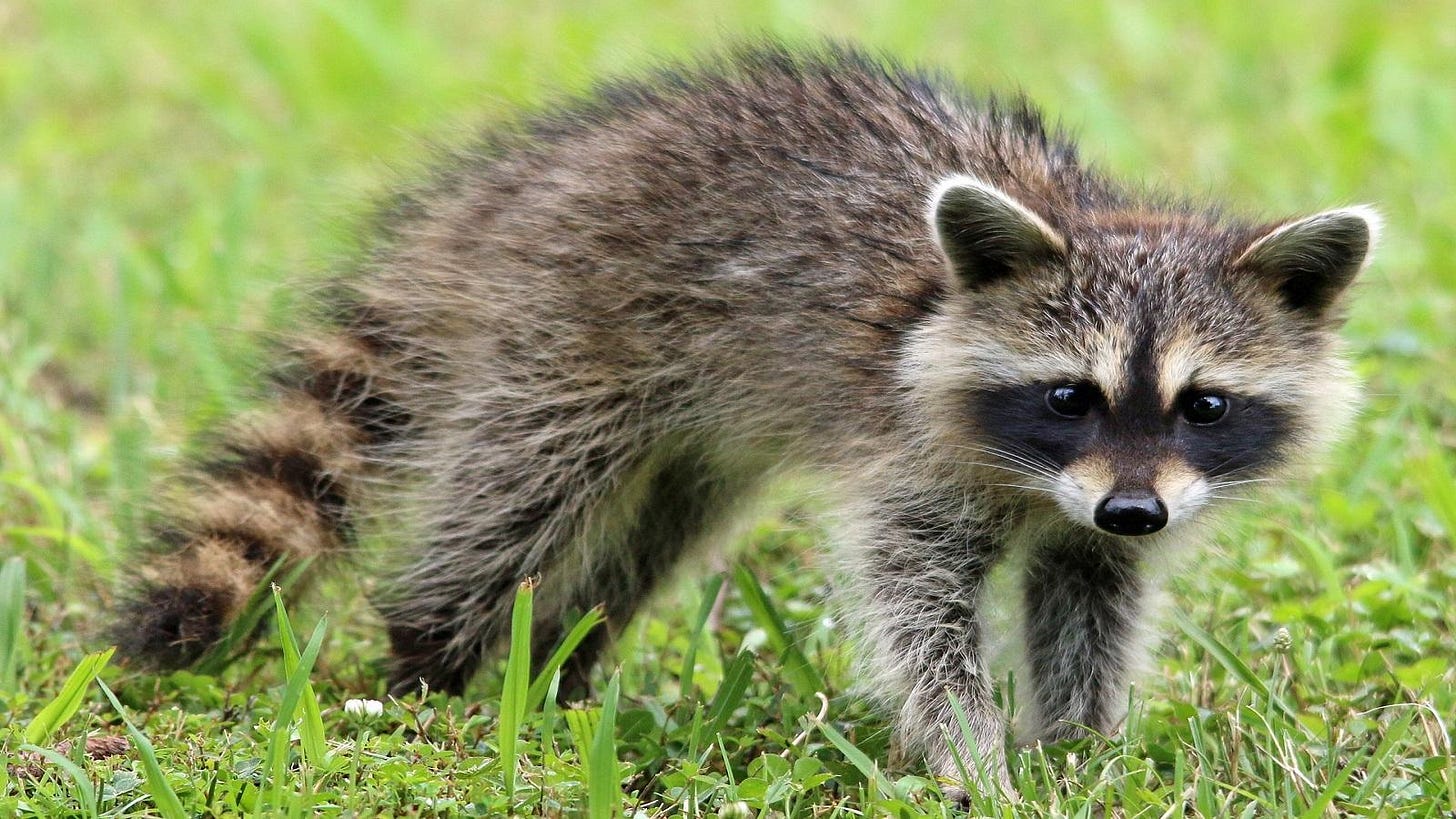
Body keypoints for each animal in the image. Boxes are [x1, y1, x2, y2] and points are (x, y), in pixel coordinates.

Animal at [113, 44, 1377, 794]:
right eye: (1070, 396)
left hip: (689, 424)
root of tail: (520, 184)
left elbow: (1088, 599)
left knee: (651, 529)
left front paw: (1079, 748)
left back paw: (565, 660)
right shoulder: (914, 453)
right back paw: (432, 657)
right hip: (569, 332)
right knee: (515, 496)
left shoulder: (1107, 509)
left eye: (1204, 405)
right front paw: (971, 755)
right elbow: (915, 603)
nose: (1132, 511)